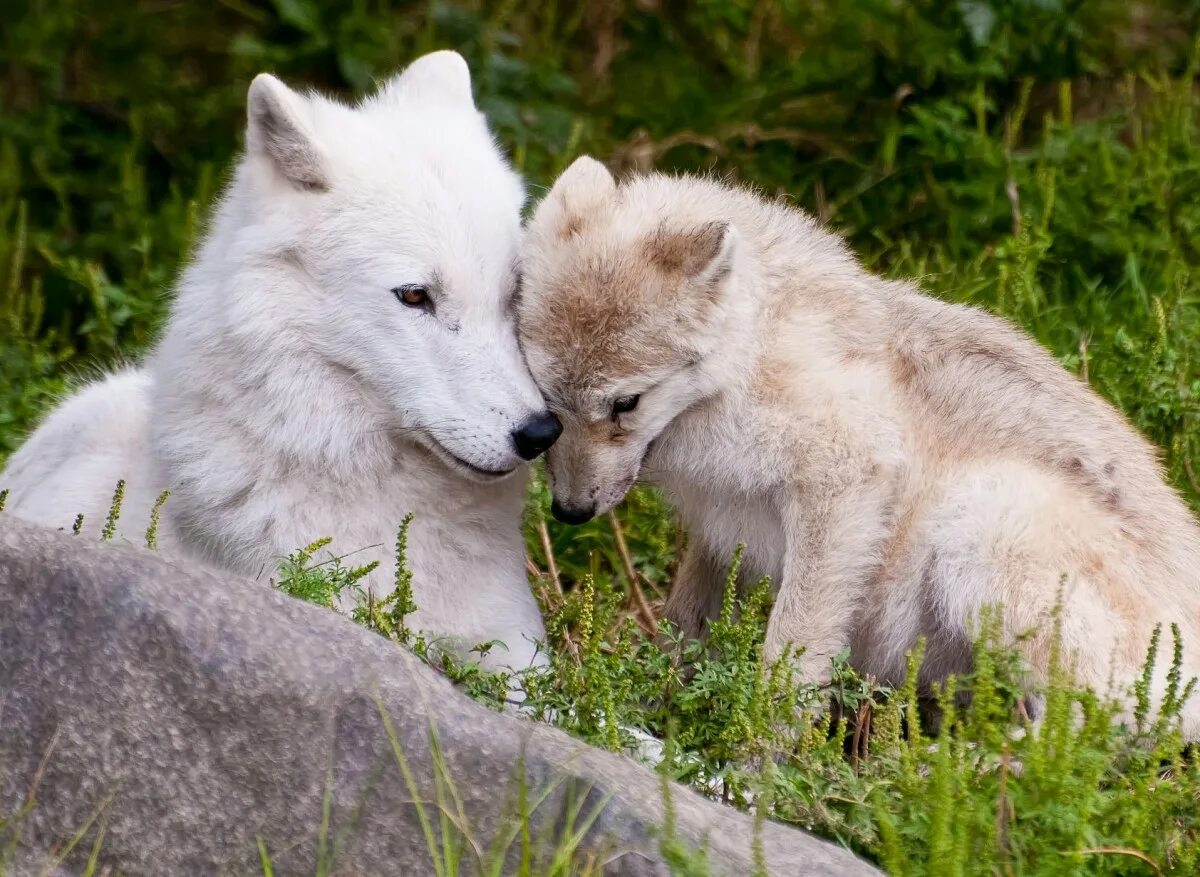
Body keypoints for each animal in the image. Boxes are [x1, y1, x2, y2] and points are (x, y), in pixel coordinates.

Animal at [516, 158, 1200, 734]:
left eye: (625, 404)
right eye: (548, 402)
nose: (570, 512)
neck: (752, 358)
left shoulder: (842, 482)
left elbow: (789, 656)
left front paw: (755, 761)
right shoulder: (718, 533)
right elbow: (683, 632)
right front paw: (652, 707)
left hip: (981, 518)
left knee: (1076, 735)